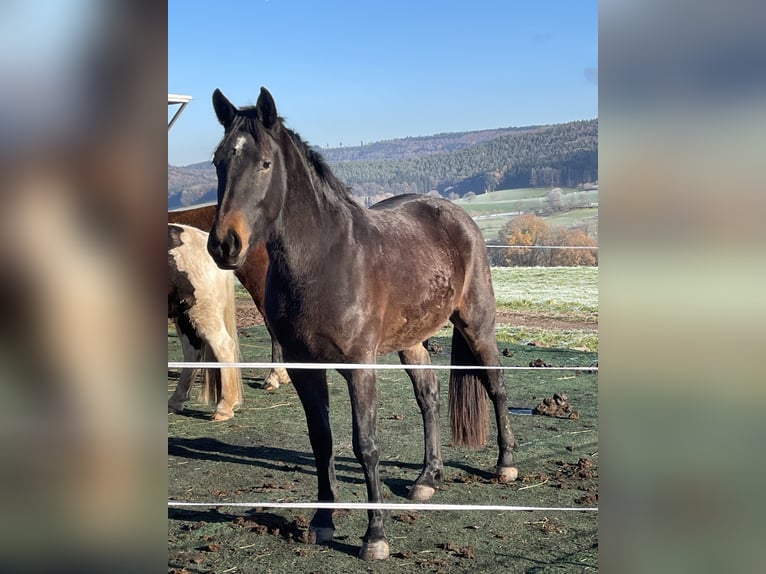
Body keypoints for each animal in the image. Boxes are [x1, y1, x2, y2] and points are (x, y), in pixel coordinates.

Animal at [168, 223, 244, 420]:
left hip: (202, 312)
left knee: (223, 346)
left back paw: (223, 408)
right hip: (185, 316)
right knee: (192, 351)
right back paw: (175, 401)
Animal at [205, 87, 518, 560]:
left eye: (264, 163)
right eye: (218, 161)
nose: (224, 244)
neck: (323, 260)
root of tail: (456, 215)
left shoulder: (360, 367)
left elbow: (365, 445)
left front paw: (375, 536)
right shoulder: (303, 368)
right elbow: (322, 440)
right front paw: (322, 521)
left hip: (476, 324)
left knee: (495, 384)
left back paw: (505, 464)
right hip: (411, 341)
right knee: (429, 396)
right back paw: (428, 478)